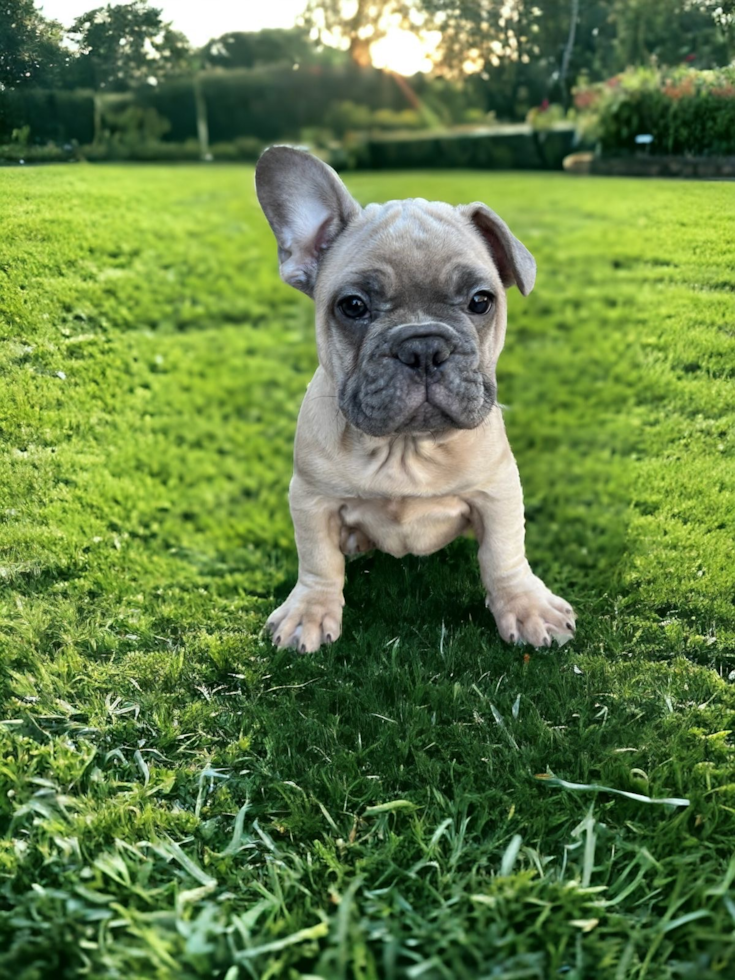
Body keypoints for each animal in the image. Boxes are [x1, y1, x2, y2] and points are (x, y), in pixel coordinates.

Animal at [256, 147, 576, 652]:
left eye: (481, 300)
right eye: (353, 306)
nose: (424, 346)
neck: (406, 449)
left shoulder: (498, 490)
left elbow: (504, 552)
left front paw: (525, 605)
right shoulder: (310, 498)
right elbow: (318, 560)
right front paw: (309, 611)